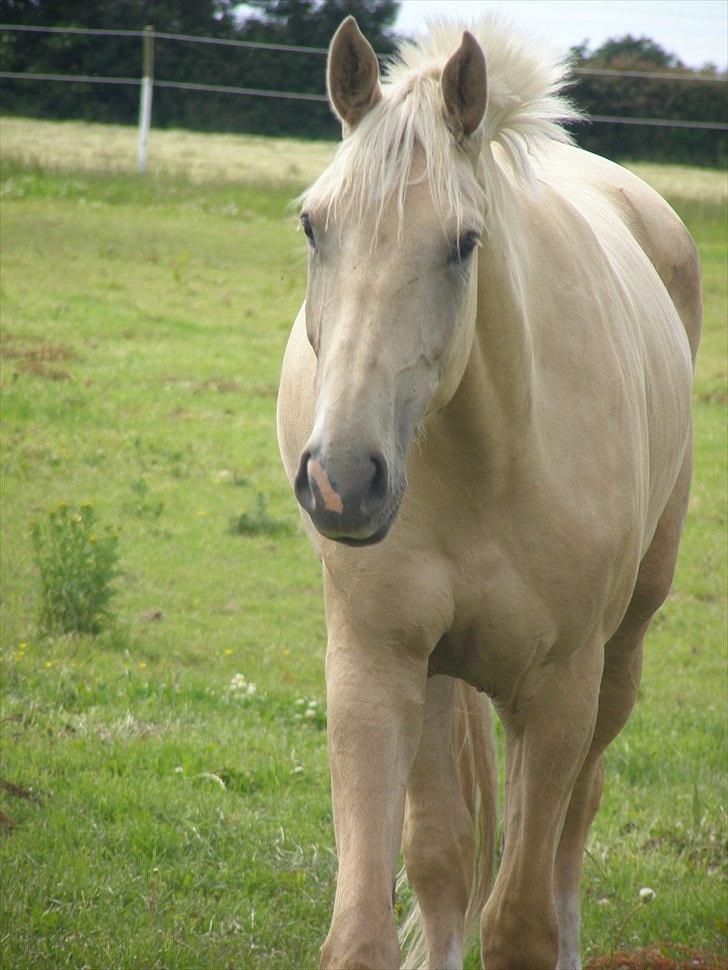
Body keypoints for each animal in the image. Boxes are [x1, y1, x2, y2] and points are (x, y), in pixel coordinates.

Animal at [278, 15, 700, 968]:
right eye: (313, 226)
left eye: (464, 243)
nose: (342, 482)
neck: (487, 461)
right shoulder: (377, 665)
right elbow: (381, 914)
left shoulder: (557, 690)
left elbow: (520, 923)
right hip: (441, 679)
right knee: (447, 854)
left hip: (619, 654)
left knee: (574, 821)